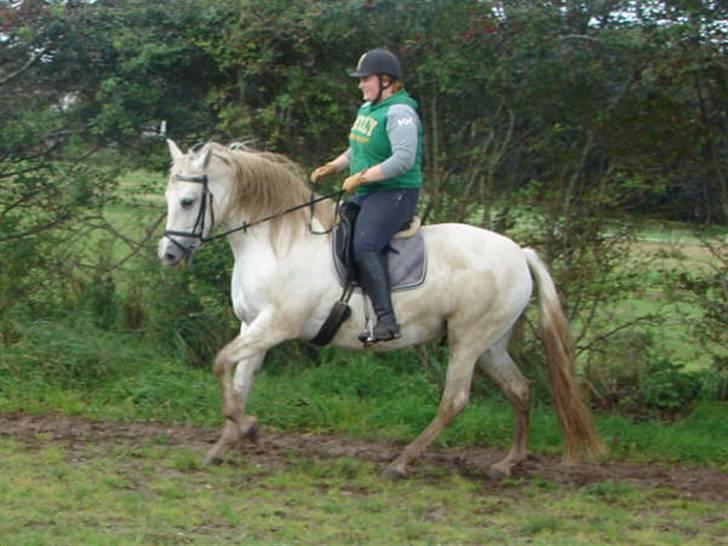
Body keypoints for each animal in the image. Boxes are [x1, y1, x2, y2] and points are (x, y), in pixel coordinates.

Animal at [158, 140, 604, 476]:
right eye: (168, 198)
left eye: (188, 200)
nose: (168, 254)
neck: (277, 241)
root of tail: (518, 252)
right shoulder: (253, 325)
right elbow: (239, 382)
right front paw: (225, 444)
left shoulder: (275, 325)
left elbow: (220, 362)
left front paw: (247, 429)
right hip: (492, 344)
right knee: (520, 389)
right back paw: (509, 462)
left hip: (468, 340)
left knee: (455, 399)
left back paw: (401, 462)